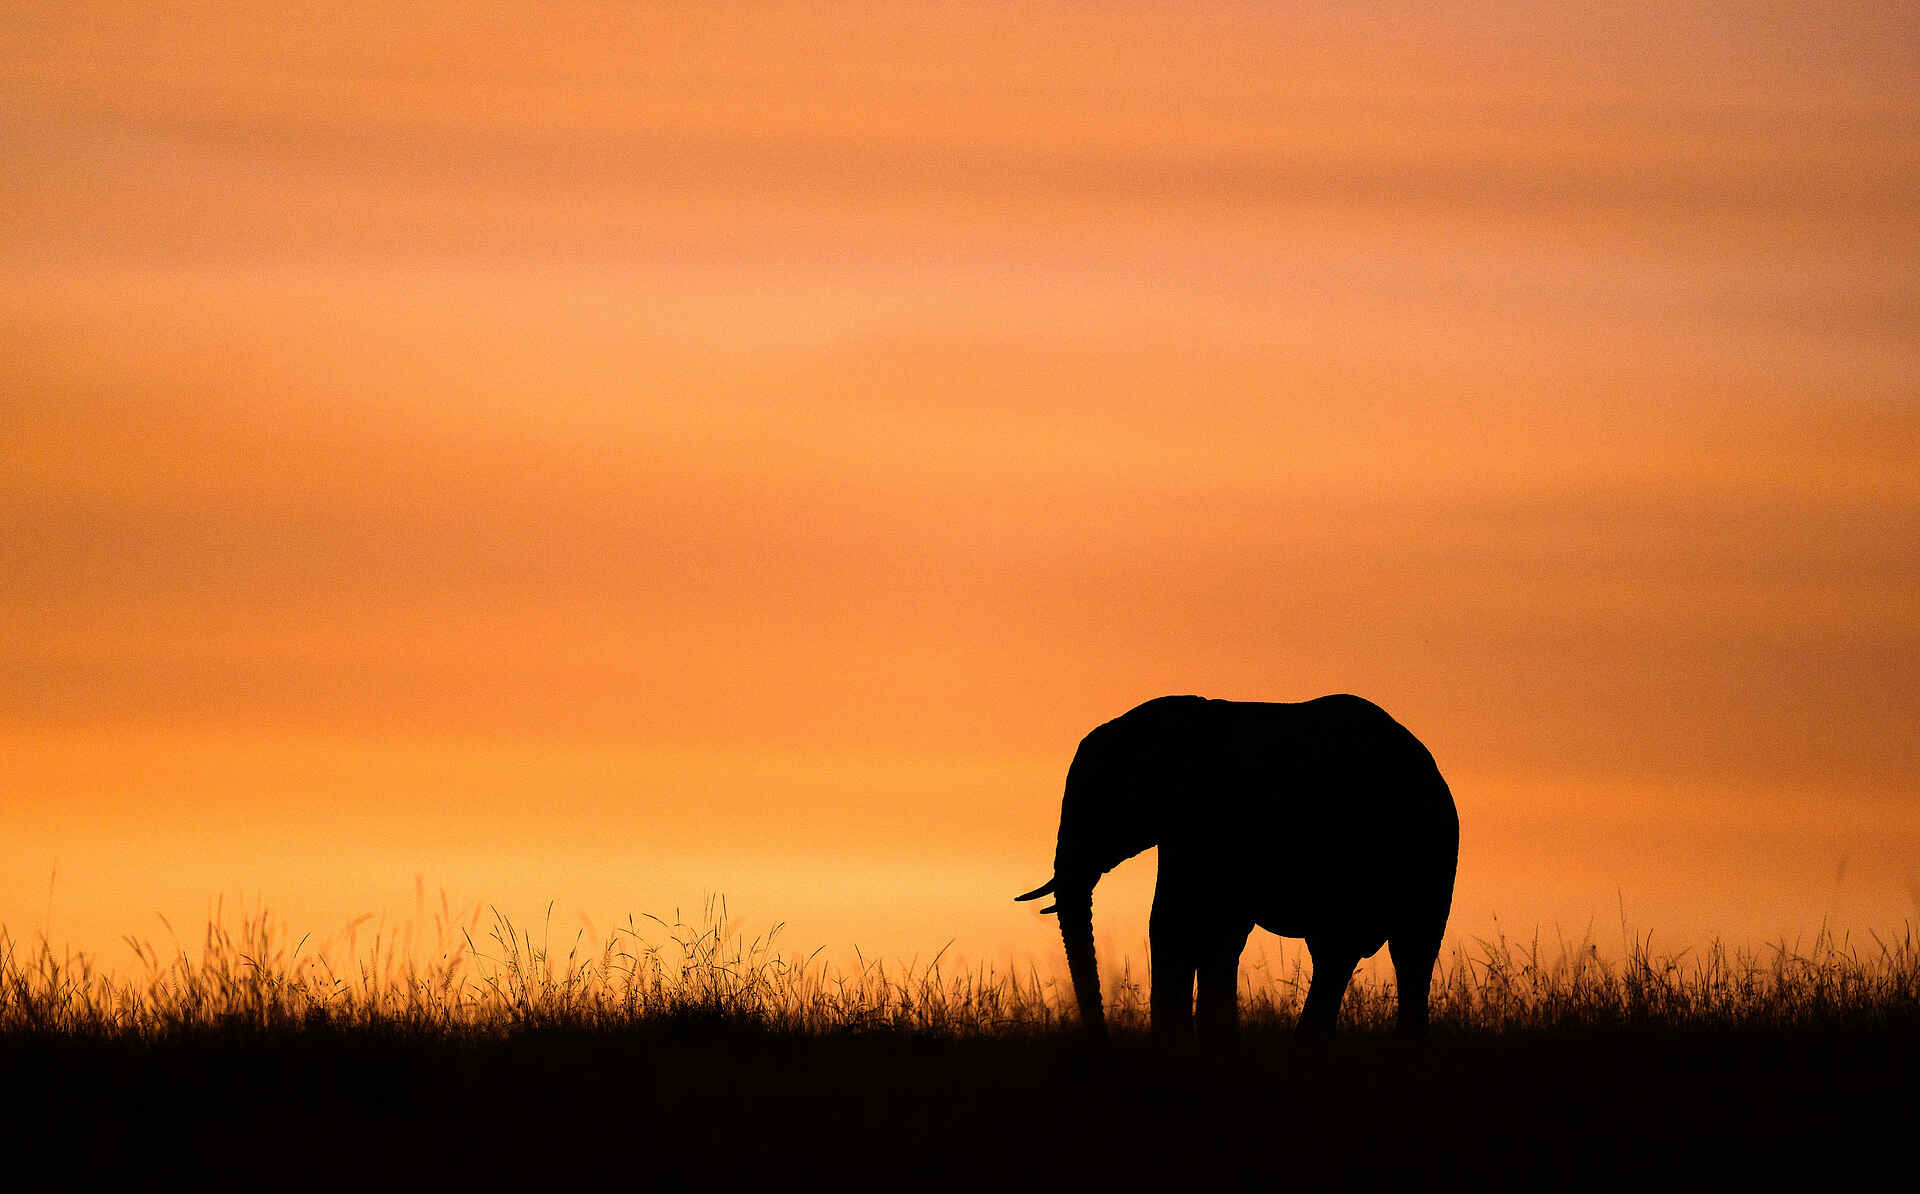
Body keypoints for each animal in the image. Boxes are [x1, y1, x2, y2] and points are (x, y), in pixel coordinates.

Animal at [1016, 694, 1459, 1043]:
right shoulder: (1185, 835)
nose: (1105, 1044)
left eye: (1101, 805)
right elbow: (1192, 929)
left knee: (1381, 951)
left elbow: (1187, 925)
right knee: (1372, 956)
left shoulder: (1221, 824)